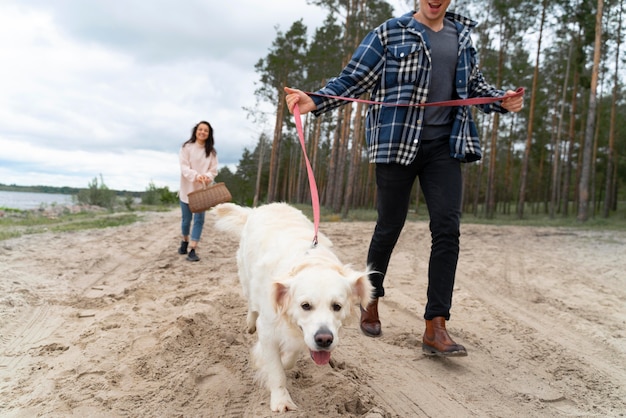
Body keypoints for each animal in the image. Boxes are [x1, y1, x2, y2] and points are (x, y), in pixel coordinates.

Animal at [212, 202, 372, 412]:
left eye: (337, 306)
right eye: (305, 306)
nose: (324, 339)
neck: (311, 262)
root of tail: (259, 208)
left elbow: (291, 357)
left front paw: (285, 360)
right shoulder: (267, 330)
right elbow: (276, 370)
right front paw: (281, 401)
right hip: (246, 279)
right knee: (251, 304)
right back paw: (250, 323)